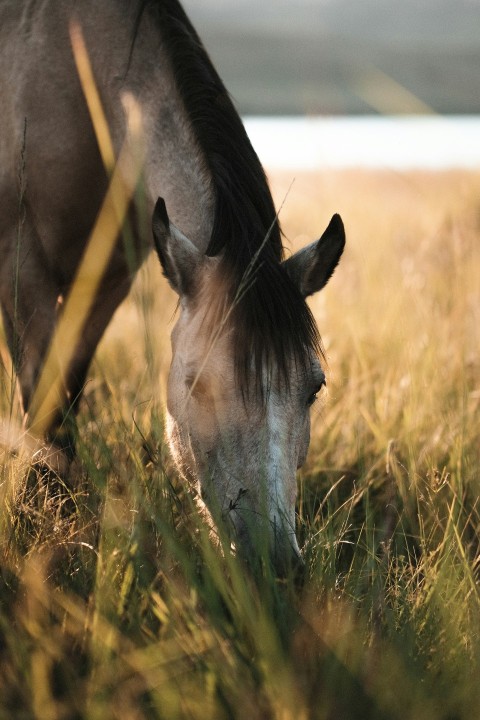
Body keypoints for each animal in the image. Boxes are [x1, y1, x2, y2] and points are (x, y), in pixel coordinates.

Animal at [0, 0, 344, 572]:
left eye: (314, 388)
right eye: (197, 382)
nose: (275, 565)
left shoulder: (109, 276)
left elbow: (70, 384)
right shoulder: (18, 259)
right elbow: (44, 398)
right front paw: (45, 512)